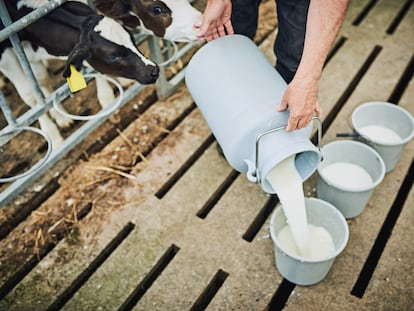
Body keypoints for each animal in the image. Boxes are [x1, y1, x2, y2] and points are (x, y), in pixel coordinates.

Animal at [0, 0, 160, 147]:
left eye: (131, 38)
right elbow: (31, 96)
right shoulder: (6, 54)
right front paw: (53, 136)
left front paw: (107, 100)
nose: (154, 70)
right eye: (113, 57)